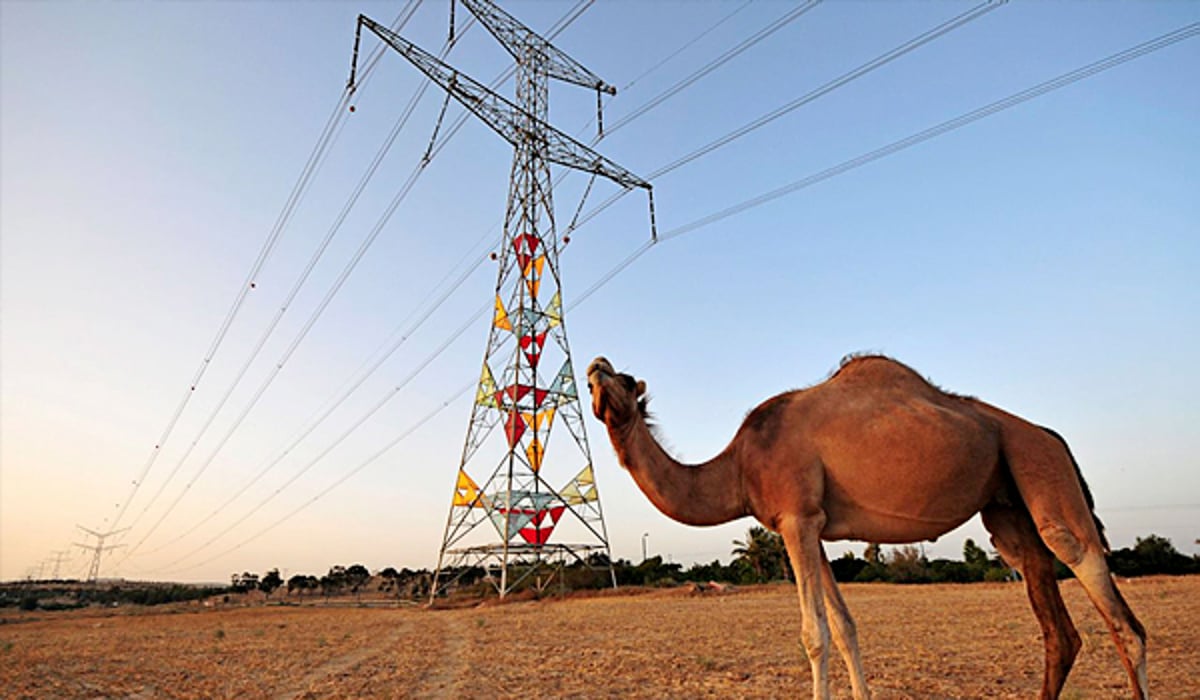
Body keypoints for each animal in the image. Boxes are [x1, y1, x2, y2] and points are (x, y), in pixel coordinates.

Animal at [585, 355, 1147, 700]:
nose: (595, 365)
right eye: (600, 375)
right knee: (1056, 622)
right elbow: (845, 627)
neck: (740, 466)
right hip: (1008, 504)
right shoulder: (810, 527)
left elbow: (815, 634)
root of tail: (1051, 434)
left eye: (626, 378)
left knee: (1114, 606)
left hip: (1040, 465)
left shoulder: (797, 517)